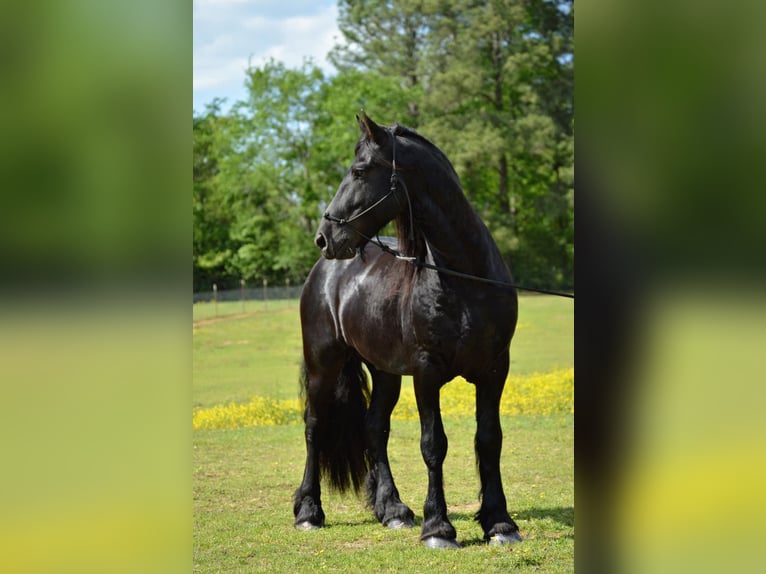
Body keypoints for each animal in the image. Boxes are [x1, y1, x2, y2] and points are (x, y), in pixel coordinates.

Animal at [292, 111, 520, 548]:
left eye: (359, 171)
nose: (324, 237)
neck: (465, 278)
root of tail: (324, 272)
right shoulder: (426, 373)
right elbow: (433, 445)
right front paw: (439, 528)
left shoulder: (494, 370)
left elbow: (489, 440)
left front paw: (499, 523)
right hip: (323, 364)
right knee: (314, 426)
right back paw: (309, 511)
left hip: (385, 372)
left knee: (374, 428)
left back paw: (393, 510)